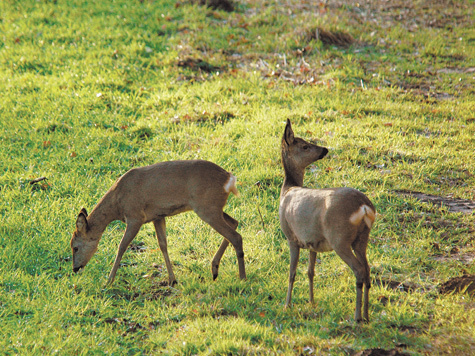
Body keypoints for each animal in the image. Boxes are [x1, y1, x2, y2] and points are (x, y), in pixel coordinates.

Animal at [73, 160, 249, 286]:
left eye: (75, 247)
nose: (75, 268)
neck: (117, 203)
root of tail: (229, 179)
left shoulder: (135, 216)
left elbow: (122, 246)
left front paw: (108, 281)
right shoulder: (157, 216)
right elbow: (163, 244)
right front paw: (172, 279)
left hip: (207, 208)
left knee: (236, 236)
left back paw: (242, 278)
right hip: (213, 208)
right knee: (234, 222)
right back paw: (214, 270)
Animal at [278, 120, 376, 322]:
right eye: (305, 146)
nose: (324, 149)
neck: (287, 190)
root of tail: (364, 207)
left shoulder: (291, 236)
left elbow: (291, 272)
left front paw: (287, 304)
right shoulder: (312, 242)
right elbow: (310, 272)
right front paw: (311, 301)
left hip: (339, 238)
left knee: (359, 270)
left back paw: (357, 317)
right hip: (362, 238)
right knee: (368, 269)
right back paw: (366, 315)